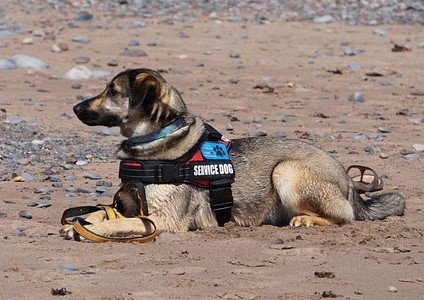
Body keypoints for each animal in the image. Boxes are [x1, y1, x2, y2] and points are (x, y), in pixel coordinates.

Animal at [68, 68, 406, 239]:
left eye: (113, 92)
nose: (75, 108)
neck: (158, 139)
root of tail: (350, 184)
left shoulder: (163, 219)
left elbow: (116, 223)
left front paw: (87, 230)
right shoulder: (128, 204)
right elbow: (100, 212)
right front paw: (84, 221)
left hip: (287, 170)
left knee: (344, 217)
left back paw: (307, 220)